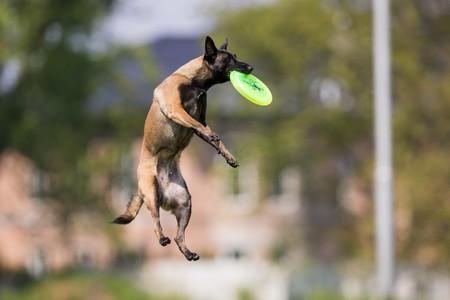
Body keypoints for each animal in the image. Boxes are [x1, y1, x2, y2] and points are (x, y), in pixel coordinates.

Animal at [112, 35, 253, 260]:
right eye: (230, 59)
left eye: (235, 56)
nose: (250, 67)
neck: (193, 81)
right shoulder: (176, 109)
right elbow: (195, 123)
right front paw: (215, 138)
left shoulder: (202, 119)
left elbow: (215, 139)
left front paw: (228, 156)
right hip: (151, 191)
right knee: (155, 221)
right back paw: (162, 238)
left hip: (185, 203)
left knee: (179, 236)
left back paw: (188, 253)